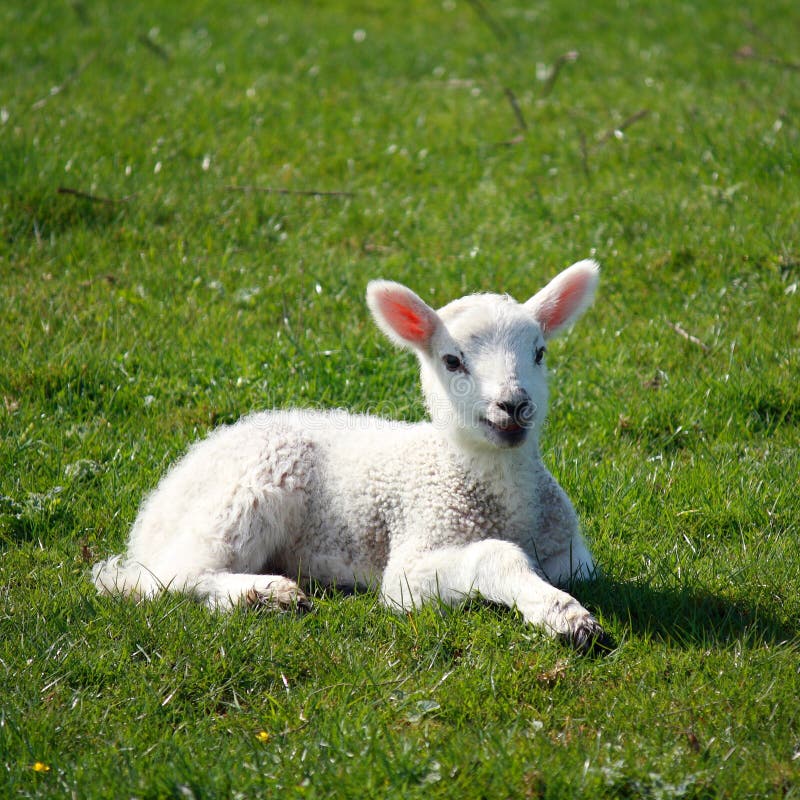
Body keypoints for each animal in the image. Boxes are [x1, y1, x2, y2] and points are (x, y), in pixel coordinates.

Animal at [92, 260, 612, 648]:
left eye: (540, 353)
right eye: (452, 361)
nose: (513, 405)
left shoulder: (573, 558)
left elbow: (569, 569)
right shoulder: (411, 562)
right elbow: (494, 557)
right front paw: (565, 616)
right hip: (244, 493)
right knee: (164, 579)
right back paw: (265, 593)